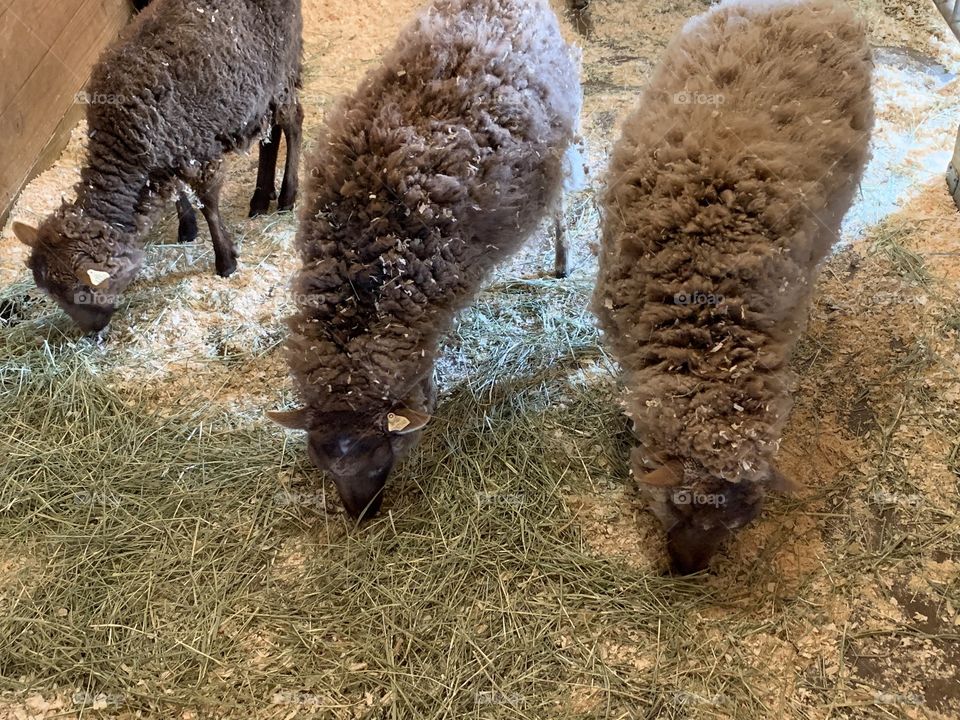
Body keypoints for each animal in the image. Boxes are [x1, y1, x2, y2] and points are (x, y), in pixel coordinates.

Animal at [12, 0, 303, 332]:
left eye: (83, 290)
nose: (92, 331)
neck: (122, 141)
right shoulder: (168, 155)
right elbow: (178, 191)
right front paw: (187, 228)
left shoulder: (198, 149)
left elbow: (209, 205)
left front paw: (226, 261)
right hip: (258, 91)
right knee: (271, 133)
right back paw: (261, 197)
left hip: (281, 69)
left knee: (293, 121)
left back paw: (286, 195)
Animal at [267, 0, 582, 519]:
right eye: (324, 468)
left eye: (381, 461)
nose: (361, 519)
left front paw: (430, 397)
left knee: (560, 201)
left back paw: (562, 260)